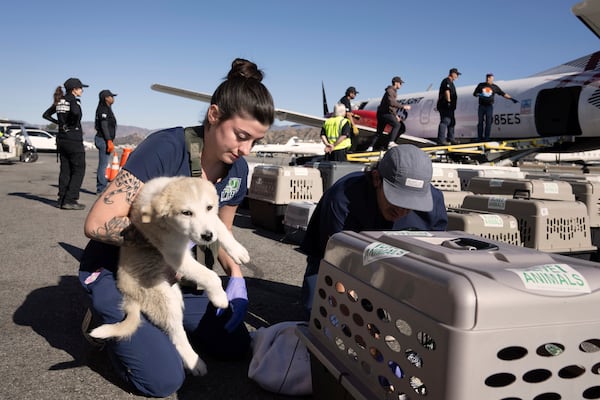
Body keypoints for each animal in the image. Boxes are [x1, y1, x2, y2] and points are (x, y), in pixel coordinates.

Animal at [88, 177, 248, 376]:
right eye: (186, 213)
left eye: (209, 207)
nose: (207, 236)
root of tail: (129, 295)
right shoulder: (175, 255)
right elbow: (210, 276)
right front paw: (220, 298)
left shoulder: (211, 222)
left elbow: (221, 227)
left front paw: (238, 251)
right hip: (164, 300)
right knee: (176, 334)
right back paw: (194, 363)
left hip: (173, 294)